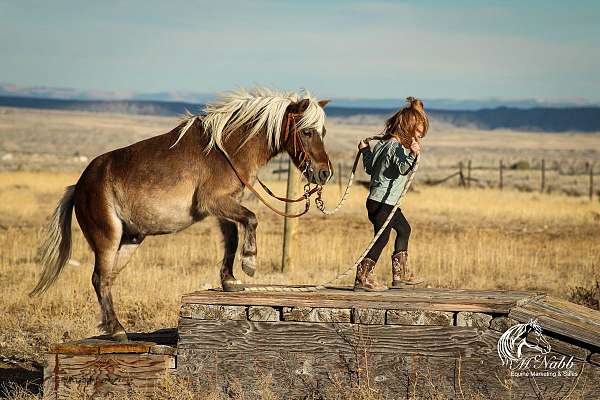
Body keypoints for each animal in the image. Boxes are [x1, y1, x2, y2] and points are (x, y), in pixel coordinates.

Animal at [30, 87, 332, 340]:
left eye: (323, 132)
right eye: (307, 132)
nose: (324, 173)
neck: (229, 149)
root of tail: (79, 185)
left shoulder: (223, 206)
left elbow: (233, 237)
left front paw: (229, 280)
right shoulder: (216, 201)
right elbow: (251, 220)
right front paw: (250, 262)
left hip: (129, 241)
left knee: (107, 280)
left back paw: (110, 326)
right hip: (108, 238)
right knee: (98, 279)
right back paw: (117, 331)